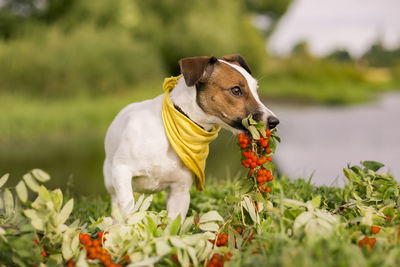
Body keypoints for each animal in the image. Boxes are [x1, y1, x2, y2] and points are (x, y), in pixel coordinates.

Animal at [103, 54, 278, 222]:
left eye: (256, 90)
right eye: (236, 90)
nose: (274, 121)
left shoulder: (180, 192)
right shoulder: (122, 171)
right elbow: (128, 212)